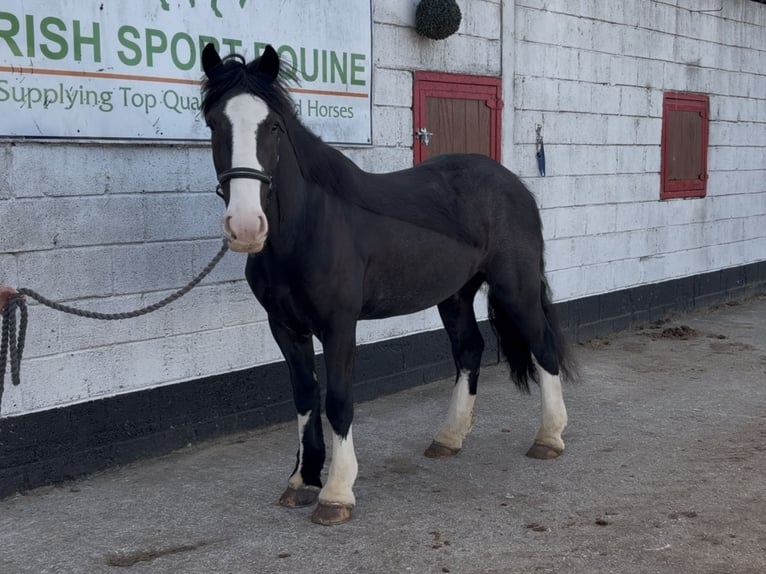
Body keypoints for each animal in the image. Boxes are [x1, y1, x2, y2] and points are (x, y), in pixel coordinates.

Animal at [199, 43, 575, 525]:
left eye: (274, 126)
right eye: (214, 123)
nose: (246, 226)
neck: (308, 227)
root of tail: (515, 185)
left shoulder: (339, 325)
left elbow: (338, 399)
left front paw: (336, 492)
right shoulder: (284, 326)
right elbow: (305, 396)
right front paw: (302, 480)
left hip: (516, 287)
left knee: (543, 347)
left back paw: (549, 438)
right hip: (455, 294)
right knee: (469, 350)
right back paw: (448, 438)